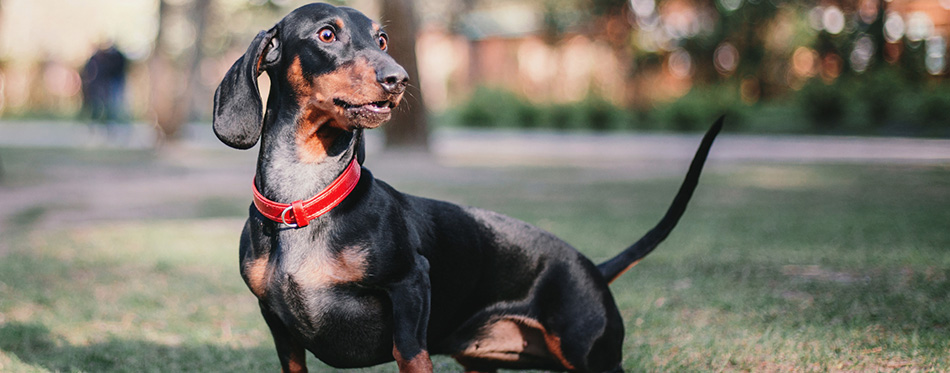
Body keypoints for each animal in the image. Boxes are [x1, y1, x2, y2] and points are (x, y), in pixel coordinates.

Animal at [216, 3, 720, 372]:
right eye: (326, 35)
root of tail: (593, 269)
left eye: (381, 39)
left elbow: (410, 353)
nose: (398, 78)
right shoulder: (280, 332)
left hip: (590, 355)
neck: (305, 201)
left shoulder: (411, 289)